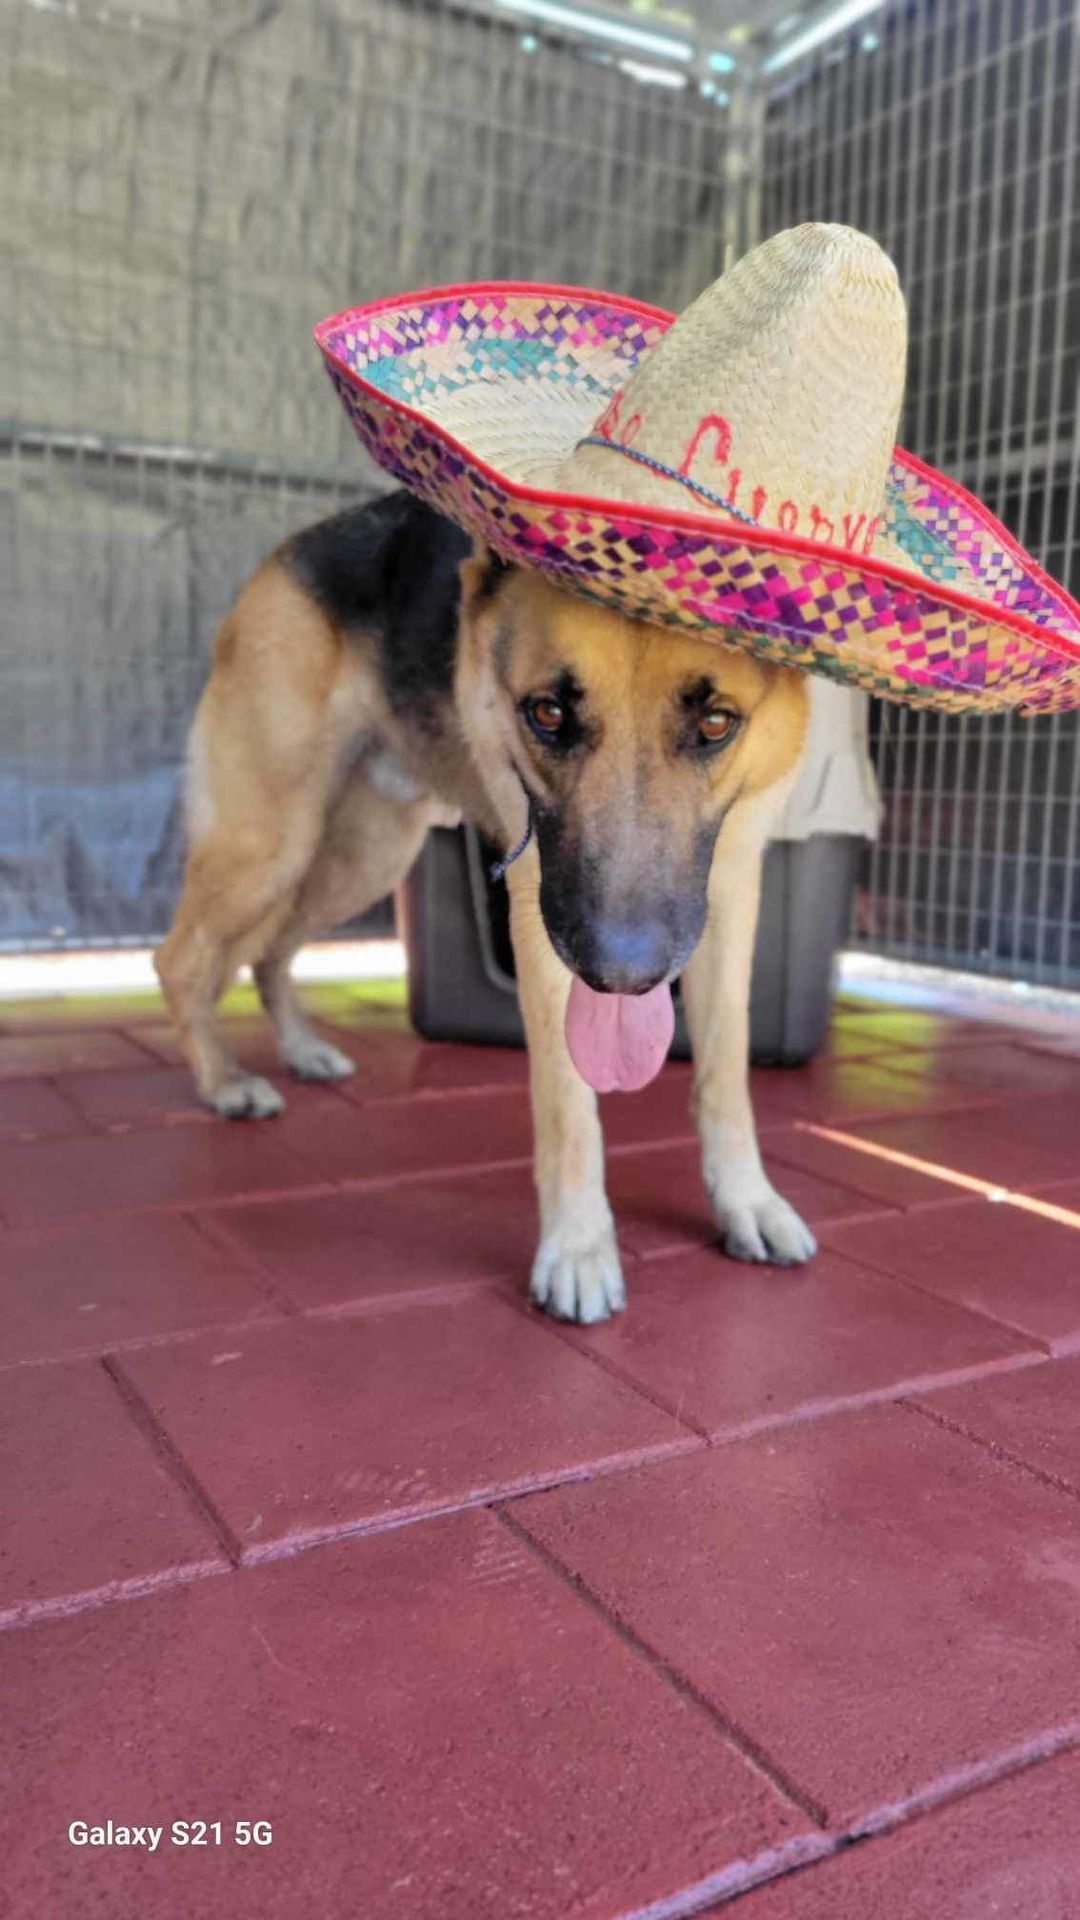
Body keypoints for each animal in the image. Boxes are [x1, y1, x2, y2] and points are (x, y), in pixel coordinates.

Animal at [155, 491, 810, 1320]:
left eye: (717, 722)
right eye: (547, 714)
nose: (622, 978)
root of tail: (291, 550)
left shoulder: (729, 889)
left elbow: (726, 1067)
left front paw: (746, 1200)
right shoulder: (540, 913)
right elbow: (566, 1099)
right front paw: (577, 1246)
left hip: (359, 856)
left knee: (271, 952)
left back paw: (302, 1050)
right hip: (269, 842)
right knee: (180, 959)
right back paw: (221, 1082)